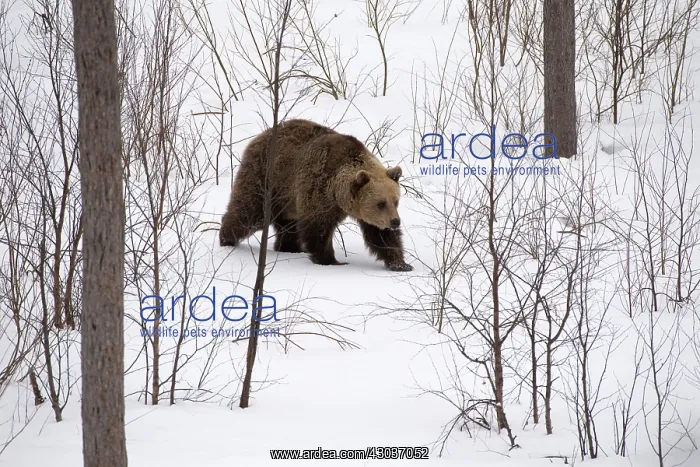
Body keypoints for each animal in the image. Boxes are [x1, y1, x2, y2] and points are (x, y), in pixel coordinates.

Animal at [219, 119, 413, 272]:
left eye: (396, 201)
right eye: (380, 203)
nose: (395, 222)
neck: (337, 193)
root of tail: (258, 137)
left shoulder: (365, 212)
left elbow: (380, 236)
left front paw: (401, 264)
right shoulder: (319, 188)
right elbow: (318, 229)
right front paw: (330, 261)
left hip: (287, 197)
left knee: (287, 224)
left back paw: (289, 247)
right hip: (267, 177)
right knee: (249, 210)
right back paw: (226, 239)